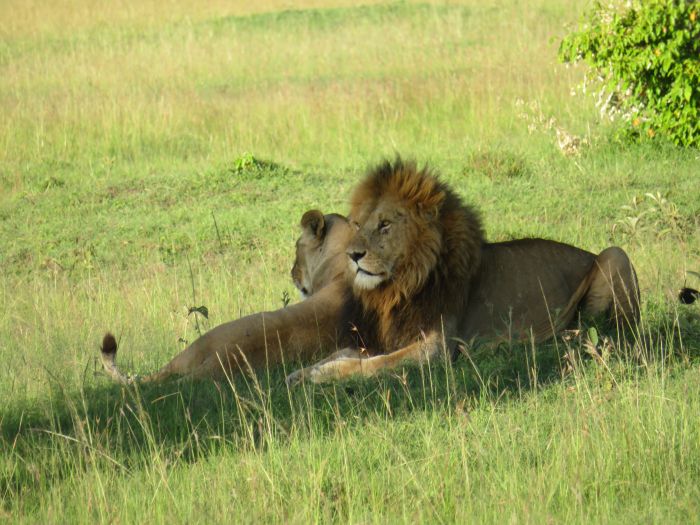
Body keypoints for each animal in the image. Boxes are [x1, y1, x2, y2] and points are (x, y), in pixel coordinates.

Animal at [286, 158, 640, 382]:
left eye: (385, 224)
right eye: (358, 225)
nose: (352, 254)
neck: (399, 286)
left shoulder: (436, 349)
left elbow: (371, 365)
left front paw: (322, 375)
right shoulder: (385, 337)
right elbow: (342, 353)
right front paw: (299, 373)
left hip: (615, 254)